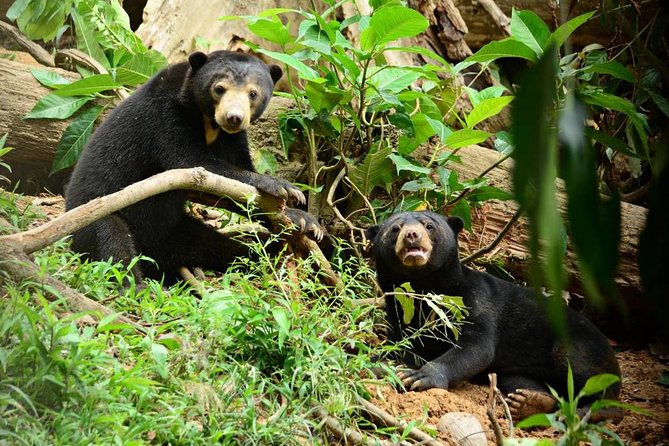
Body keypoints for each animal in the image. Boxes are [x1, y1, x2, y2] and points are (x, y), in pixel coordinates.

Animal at [65, 50, 320, 283]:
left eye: (253, 93)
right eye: (219, 88)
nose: (234, 118)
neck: (209, 122)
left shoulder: (231, 138)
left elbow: (231, 187)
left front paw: (305, 221)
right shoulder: (166, 115)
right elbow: (193, 163)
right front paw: (283, 187)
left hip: (176, 230)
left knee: (214, 245)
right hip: (94, 216)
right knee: (112, 241)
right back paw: (135, 286)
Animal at [366, 210, 622, 421]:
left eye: (428, 226)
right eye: (395, 228)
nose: (412, 235)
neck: (423, 287)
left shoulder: (475, 301)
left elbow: (476, 348)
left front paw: (419, 377)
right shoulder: (399, 312)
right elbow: (403, 345)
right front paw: (376, 362)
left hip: (583, 345)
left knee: (586, 373)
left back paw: (589, 412)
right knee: (522, 381)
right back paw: (528, 402)